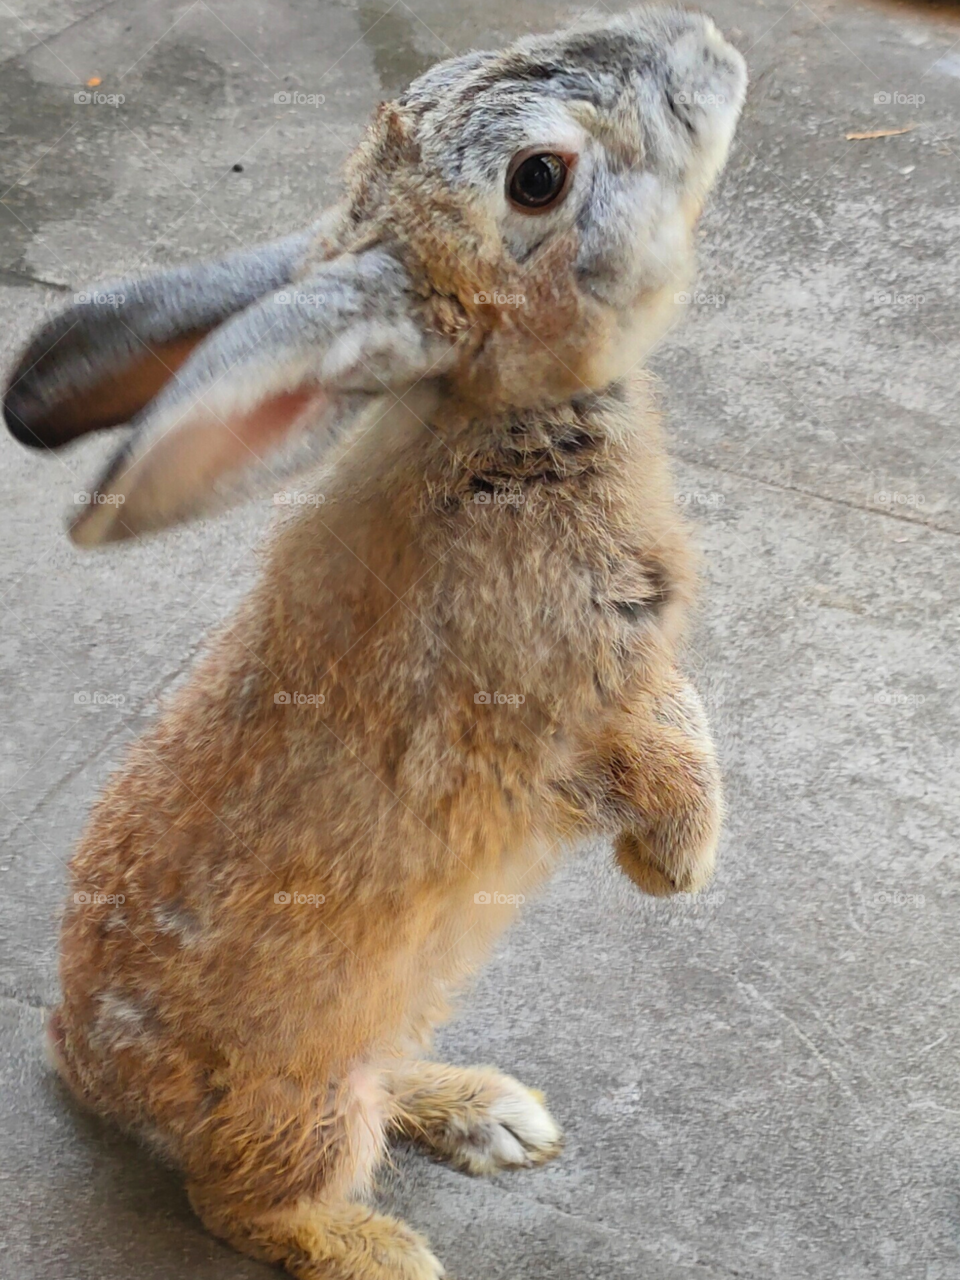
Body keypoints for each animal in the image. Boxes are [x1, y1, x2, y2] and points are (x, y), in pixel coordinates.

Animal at [3, 8, 745, 1279]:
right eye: (539, 178)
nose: (707, 42)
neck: (496, 429)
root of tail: (83, 1058)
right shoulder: (581, 696)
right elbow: (668, 738)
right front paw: (678, 865)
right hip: (309, 1098)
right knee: (242, 1201)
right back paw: (384, 1248)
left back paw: (492, 1115)